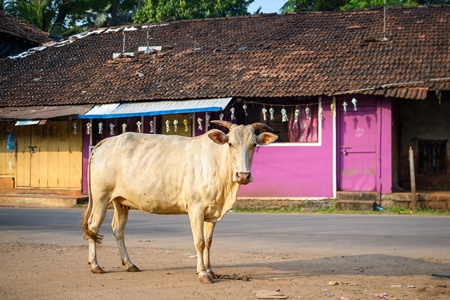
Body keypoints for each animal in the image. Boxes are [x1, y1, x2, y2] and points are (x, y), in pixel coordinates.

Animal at [81, 120, 278, 284]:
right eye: (230, 144)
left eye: (254, 144)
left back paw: (130, 264)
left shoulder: (212, 212)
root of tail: (107, 141)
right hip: (100, 197)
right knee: (93, 227)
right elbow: (199, 242)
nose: (243, 175)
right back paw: (95, 265)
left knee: (117, 229)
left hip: (120, 201)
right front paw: (202, 274)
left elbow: (208, 242)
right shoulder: (196, 209)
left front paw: (211, 270)